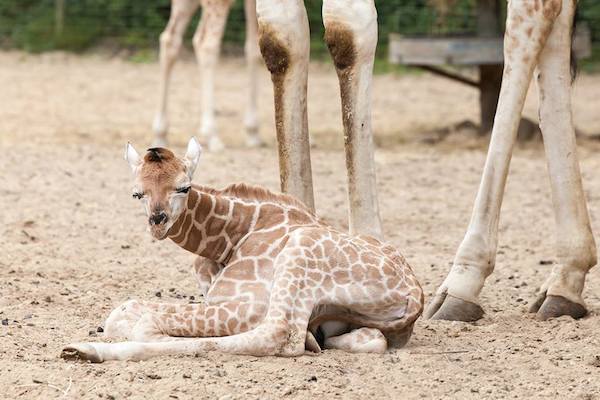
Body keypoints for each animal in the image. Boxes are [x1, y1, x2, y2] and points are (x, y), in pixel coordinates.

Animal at [62, 138, 422, 362]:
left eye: (184, 187)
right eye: (137, 193)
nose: (157, 222)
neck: (232, 237)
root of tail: (414, 296)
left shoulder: (248, 304)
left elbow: (136, 317)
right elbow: (125, 312)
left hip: (299, 253)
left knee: (279, 336)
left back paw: (84, 349)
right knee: (368, 337)